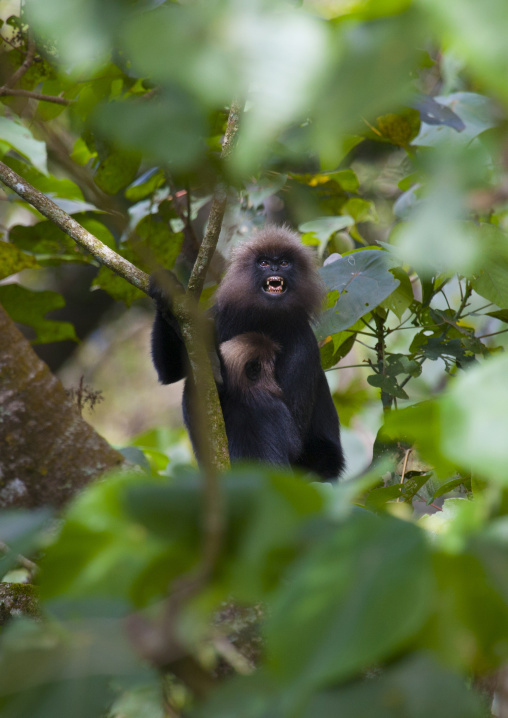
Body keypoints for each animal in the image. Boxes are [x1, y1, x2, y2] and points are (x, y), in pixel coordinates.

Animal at [149, 225, 345, 480]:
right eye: (263, 263)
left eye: (284, 263)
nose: (273, 268)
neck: (266, 319)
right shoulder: (220, 314)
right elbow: (170, 373)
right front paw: (168, 293)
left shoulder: (305, 344)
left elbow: (295, 433)